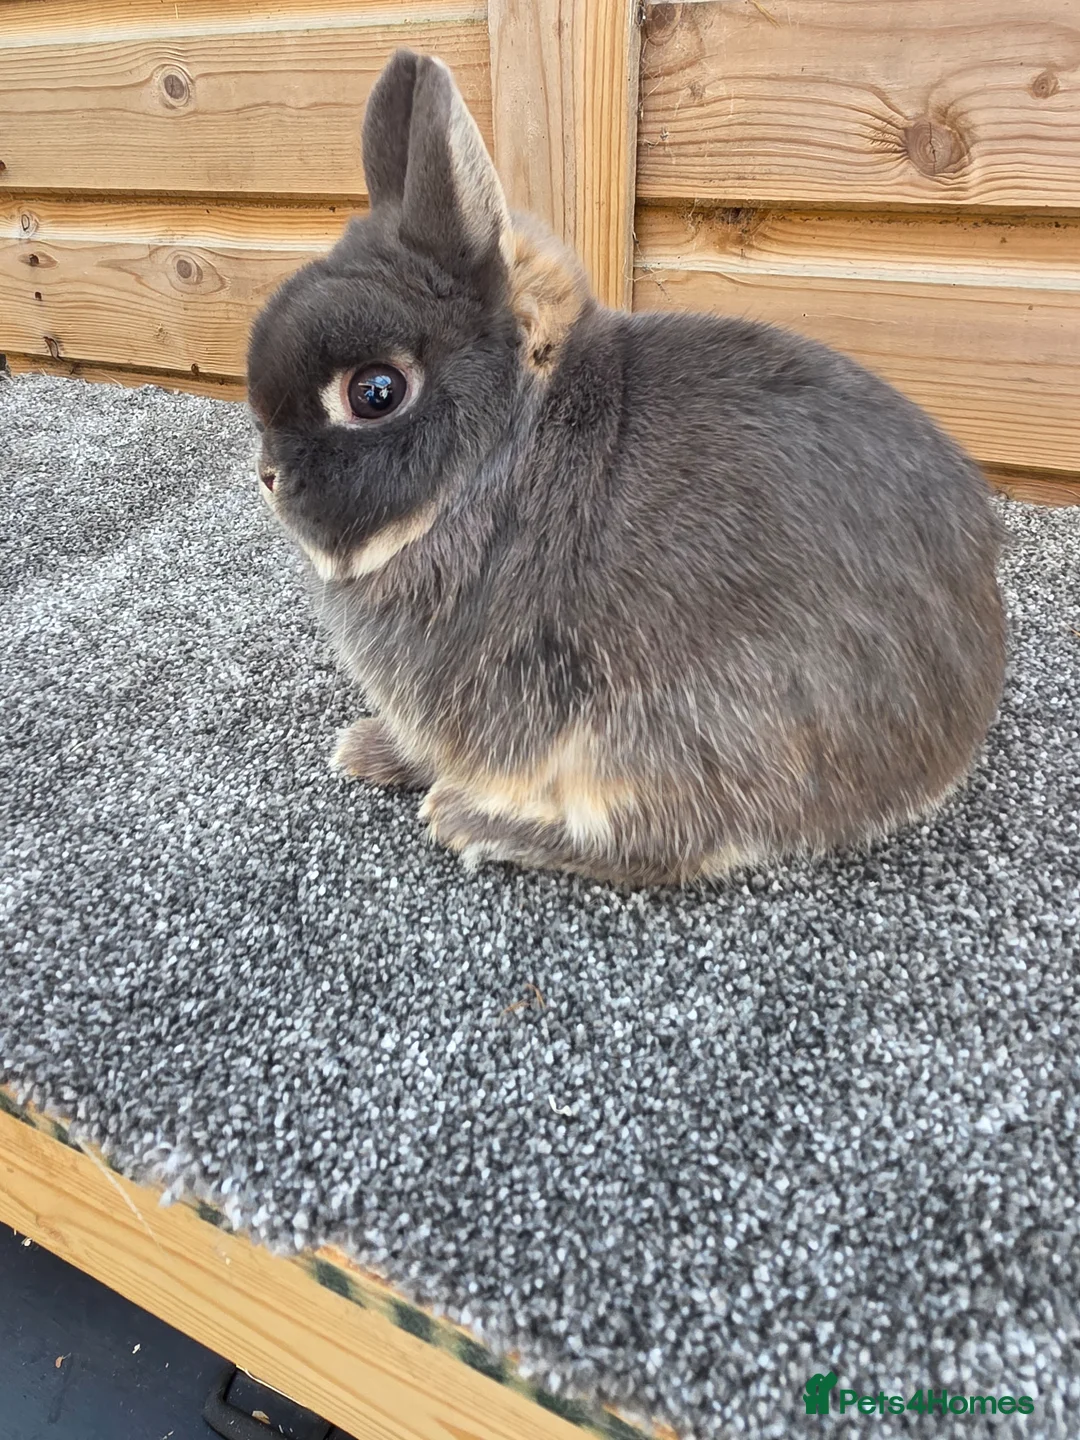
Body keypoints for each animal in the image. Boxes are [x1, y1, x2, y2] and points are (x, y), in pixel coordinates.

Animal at [246, 48, 1006, 887]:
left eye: (375, 393)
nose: (269, 477)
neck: (503, 454)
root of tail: (950, 739)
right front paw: (372, 748)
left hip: (671, 728)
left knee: (656, 843)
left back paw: (467, 819)